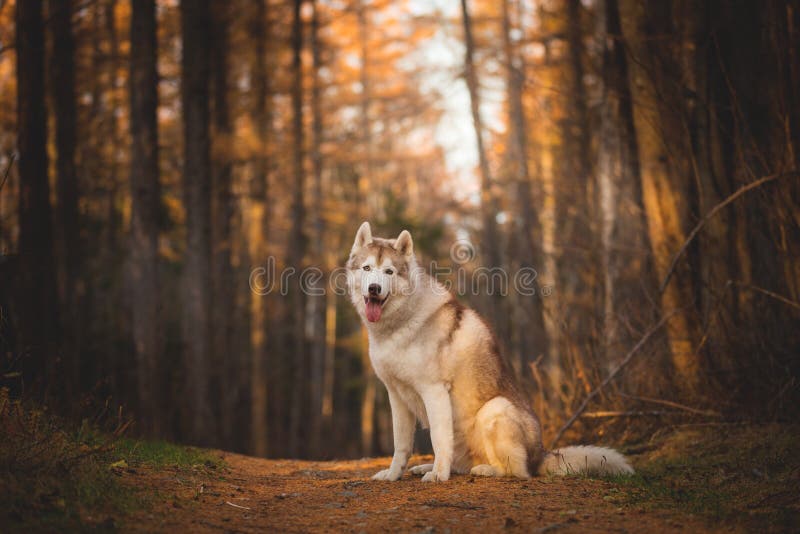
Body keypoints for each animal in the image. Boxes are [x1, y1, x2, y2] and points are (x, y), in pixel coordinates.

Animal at [346, 224, 636, 484]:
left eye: (389, 271)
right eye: (367, 268)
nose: (374, 288)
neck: (398, 325)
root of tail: (541, 455)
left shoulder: (434, 391)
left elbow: (438, 439)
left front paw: (438, 476)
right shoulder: (396, 396)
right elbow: (401, 446)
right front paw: (393, 475)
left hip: (495, 409)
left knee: (518, 471)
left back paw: (485, 470)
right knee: (460, 462)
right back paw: (430, 467)